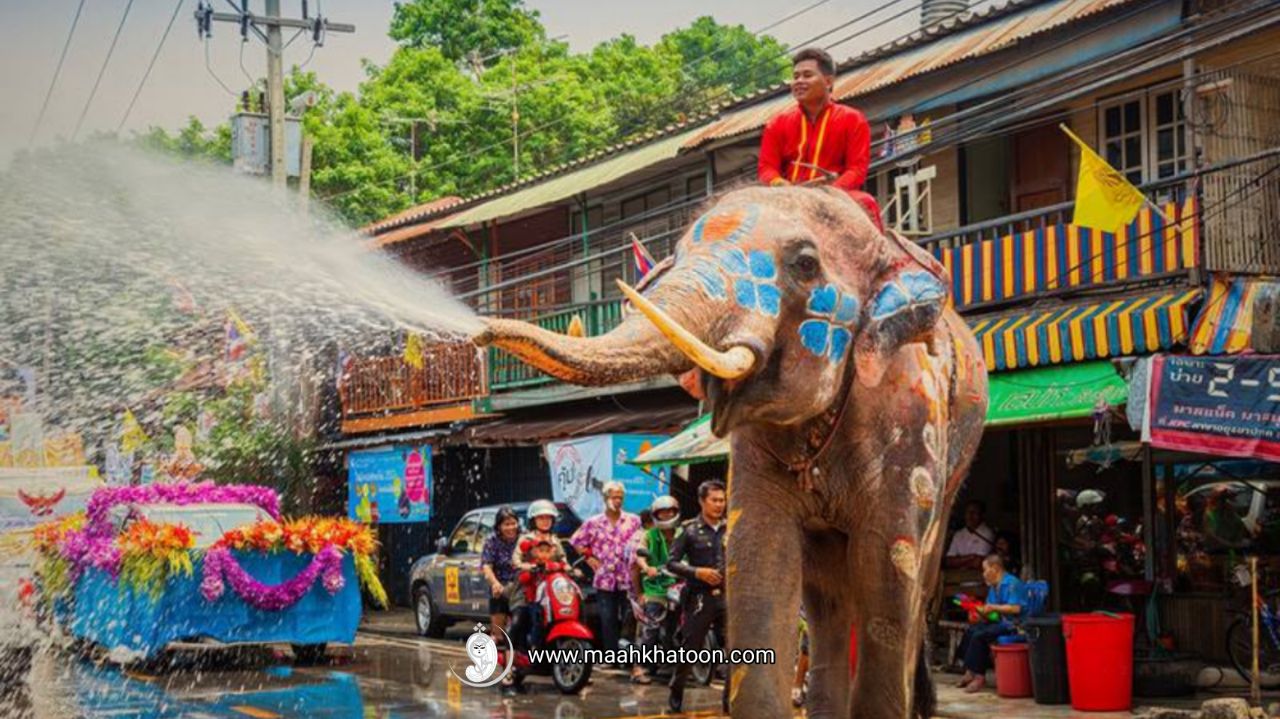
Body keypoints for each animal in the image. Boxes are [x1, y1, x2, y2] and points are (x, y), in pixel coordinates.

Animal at [476, 184, 983, 716]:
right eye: (677, 255)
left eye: (805, 263)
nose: (480, 332)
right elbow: (760, 558)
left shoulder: (909, 419)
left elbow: (887, 568)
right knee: (825, 594)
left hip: (955, 460)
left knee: (912, 582)